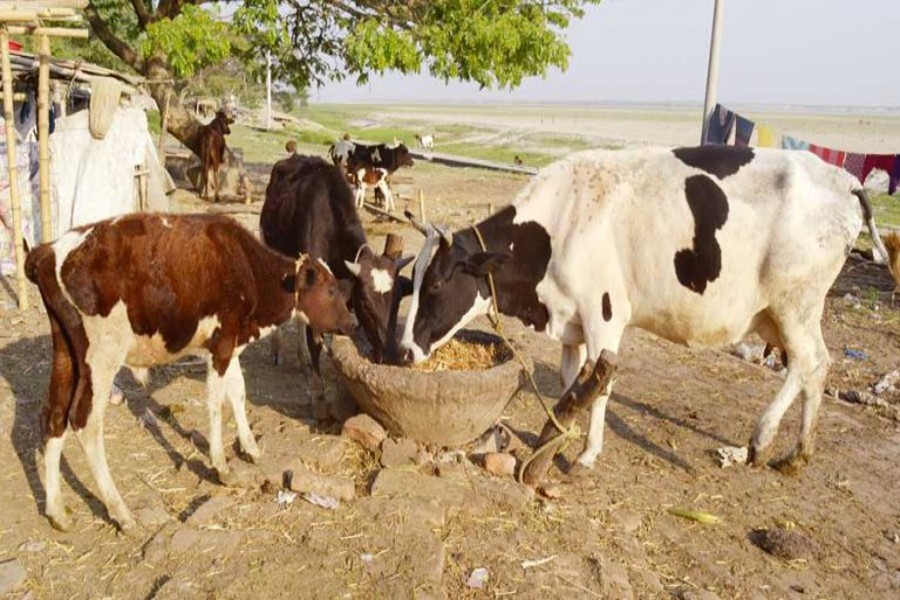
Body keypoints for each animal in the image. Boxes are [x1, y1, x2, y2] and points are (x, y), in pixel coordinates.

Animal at [25, 213, 356, 532]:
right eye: (330, 290)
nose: (352, 322)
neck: (245, 265)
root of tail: (50, 250)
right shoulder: (221, 344)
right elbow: (216, 403)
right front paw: (221, 466)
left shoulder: (231, 343)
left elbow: (238, 392)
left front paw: (250, 447)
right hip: (102, 358)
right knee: (85, 423)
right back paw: (121, 512)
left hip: (67, 354)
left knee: (53, 417)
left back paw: (57, 512)